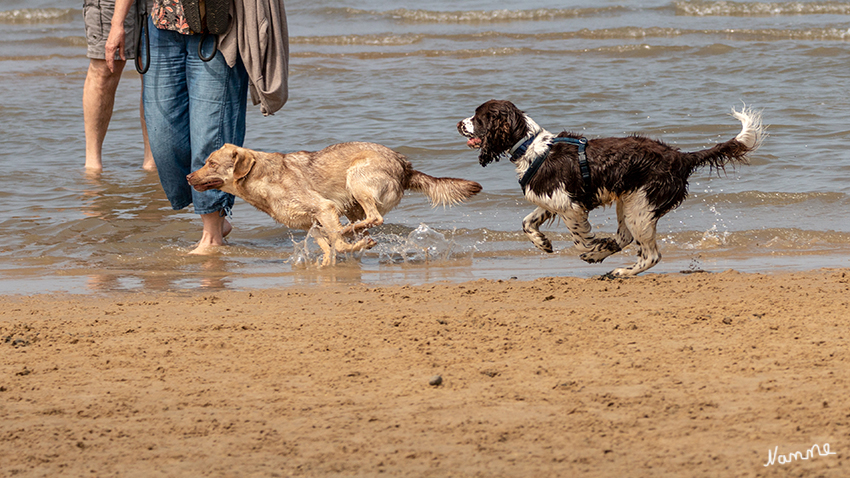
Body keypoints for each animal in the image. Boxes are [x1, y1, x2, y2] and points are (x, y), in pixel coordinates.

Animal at [190, 142, 484, 266]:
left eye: (212, 164)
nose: (187, 176)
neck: (261, 179)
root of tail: (406, 166)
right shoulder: (311, 222)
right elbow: (326, 247)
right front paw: (327, 263)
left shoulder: (324, 208)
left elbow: (337, 243)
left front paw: (347, 244)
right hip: (354, 203)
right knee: (366, 222)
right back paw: (354, 234)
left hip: (356, 179)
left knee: (373, 219)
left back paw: (349, 233)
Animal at [460, 100, 764, 276]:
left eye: (478, 117)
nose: (458, 123)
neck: (532, 147)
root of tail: (681, 157)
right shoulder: (552, 201)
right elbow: (526, 222)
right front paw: (542, 242)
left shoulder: (571, 207)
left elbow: (580, 237)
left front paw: (592, 245)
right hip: (628, 201)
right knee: (626, 238)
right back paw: (603, 255)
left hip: (640, 206)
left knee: (651, 254)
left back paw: (621, 270)